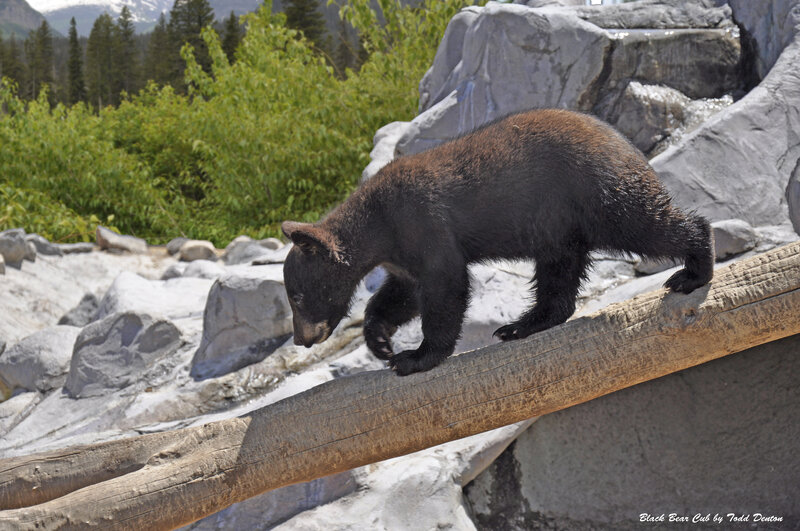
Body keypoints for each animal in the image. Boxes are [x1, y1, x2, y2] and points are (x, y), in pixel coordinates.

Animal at [281, 109, 714, 376]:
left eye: (297, 296)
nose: (301, 339)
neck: (379, 224)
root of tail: (624, 142)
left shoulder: (422, 221)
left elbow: (445, 284)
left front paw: (415, 356)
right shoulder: (401, 255)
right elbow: (401, 294)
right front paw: (380, 340)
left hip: (596, 194)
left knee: (645, 226)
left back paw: (694, 269)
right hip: (558, 223)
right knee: (559, 272)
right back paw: (522, 325)